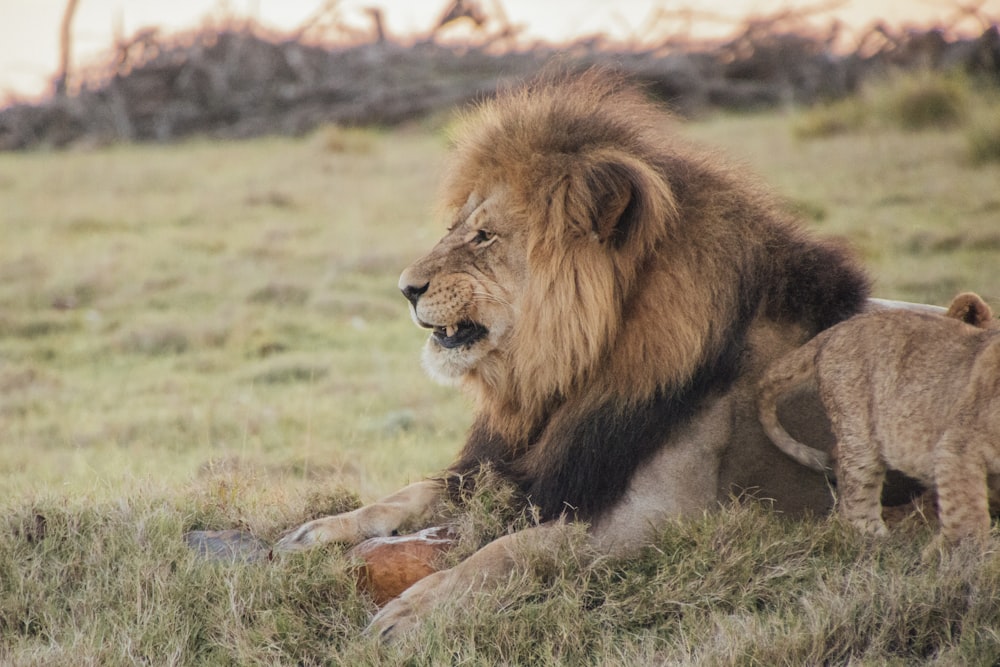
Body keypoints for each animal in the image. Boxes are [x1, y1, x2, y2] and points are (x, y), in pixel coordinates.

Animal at [272, 69, 920, 640]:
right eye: (456, 227)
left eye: (483, 236)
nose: (406, 288)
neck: (573, 373)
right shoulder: (526, 464)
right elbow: (414, 492)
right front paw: (318, 531)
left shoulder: (664, 517)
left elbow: (509, 550)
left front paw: (411, 612)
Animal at [756, 294, 1000, 544]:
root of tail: (835, 331)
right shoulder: (957, 446)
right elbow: (965, 510)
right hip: (859, 430)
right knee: (855, 484)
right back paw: (874, 536)